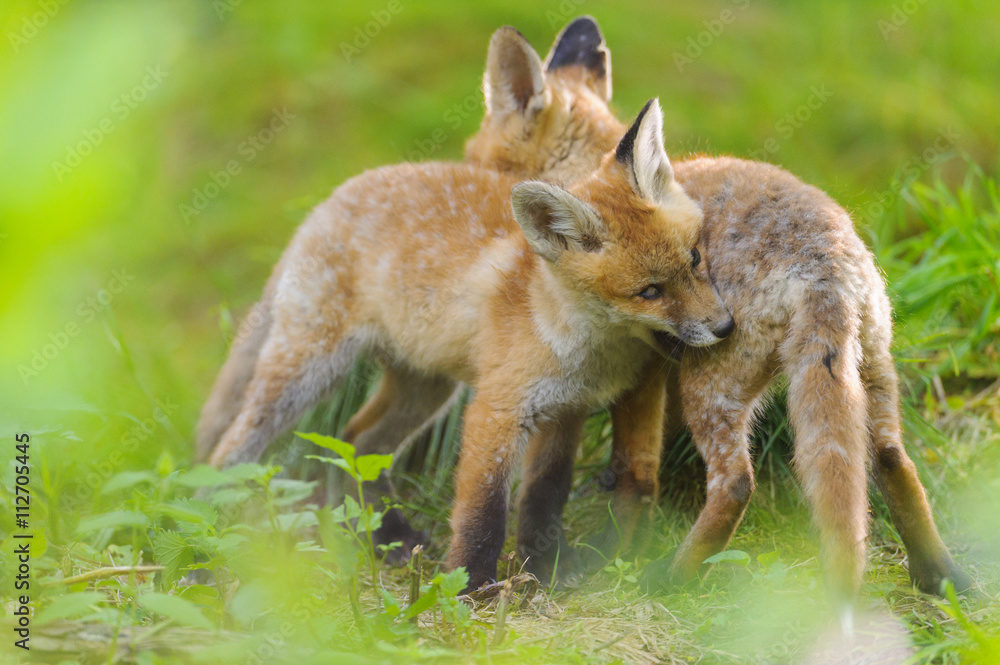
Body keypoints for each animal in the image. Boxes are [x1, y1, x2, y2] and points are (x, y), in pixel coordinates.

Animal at [203, 96, 734, 591]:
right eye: (650, 292)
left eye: (694, 258)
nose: (726, 326)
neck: (579, 342)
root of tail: (331, 198)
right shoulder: (497, 409)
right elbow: (484, 510)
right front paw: (471, 587)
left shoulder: (566, 410)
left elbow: (544, 495)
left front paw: (546, 565)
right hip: (308, 371)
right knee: (232, 448)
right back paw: (211, 523)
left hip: (425, 387)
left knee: (359, 439)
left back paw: (388, 535)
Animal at [300, 16, 971, 608]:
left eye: (475, 156)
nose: (456, 191)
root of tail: (824, 259)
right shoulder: (649, 368)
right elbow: (637, 469)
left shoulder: (649, 368)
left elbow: (633, 469)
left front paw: (614, 548)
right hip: (870, 375)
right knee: (891, 462)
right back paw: (942, 576)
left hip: (713, 386)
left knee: (735, 482)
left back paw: (672, 578)